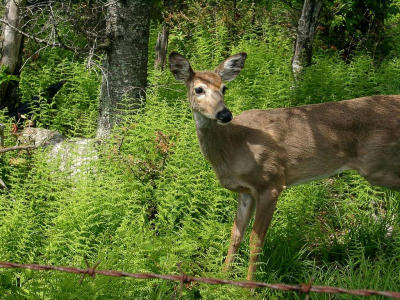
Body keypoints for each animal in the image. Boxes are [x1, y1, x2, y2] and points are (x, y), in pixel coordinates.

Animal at [167, 51, 400, 282]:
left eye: (224, 88)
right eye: (198, 89)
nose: (224, 114)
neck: (234, 145)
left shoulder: (272, 181)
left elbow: (255, 241)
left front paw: (247, 285)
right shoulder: (246, 191)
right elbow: (235, 235)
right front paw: (221, 278)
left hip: (380, 166)